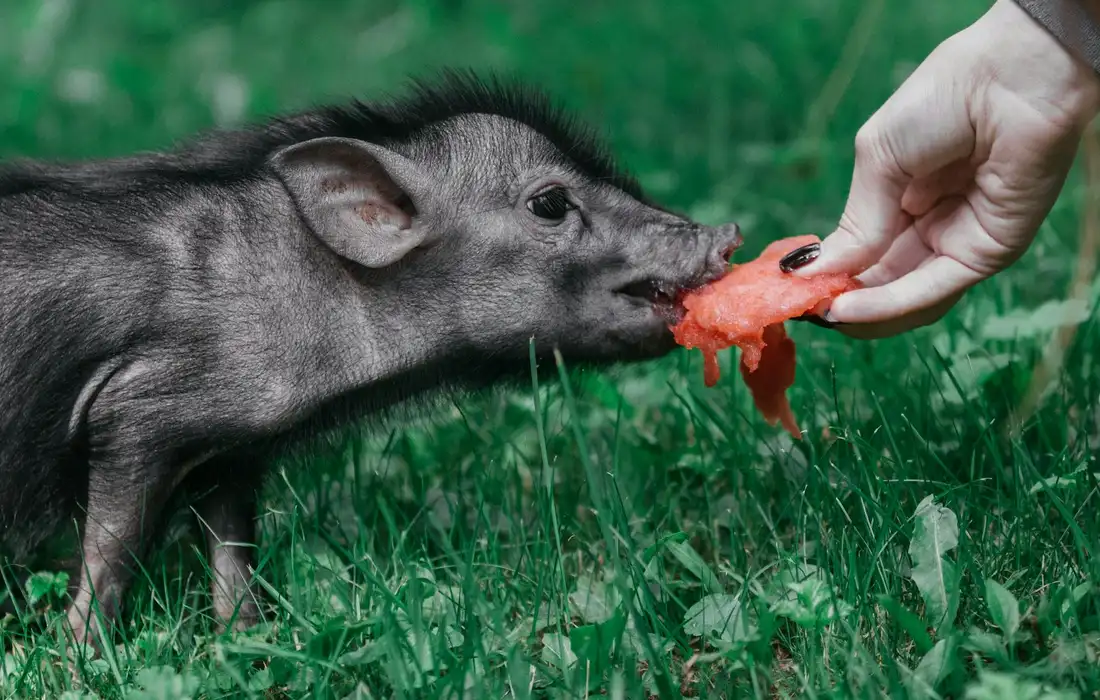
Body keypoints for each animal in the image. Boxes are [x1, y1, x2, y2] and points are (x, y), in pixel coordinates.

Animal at [0, 70, 742, 647]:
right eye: (551, 203)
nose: (729, 231)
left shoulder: (233, 447)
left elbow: (233, 548)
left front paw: (251, 640)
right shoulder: (133, 413)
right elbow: (113, 548)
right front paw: (82, 658)